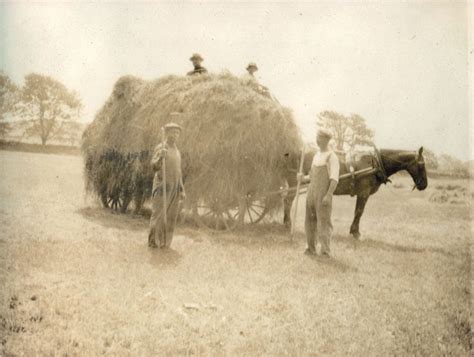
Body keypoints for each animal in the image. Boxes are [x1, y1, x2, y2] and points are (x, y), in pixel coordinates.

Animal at [284, 146, 428, 238]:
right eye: (422, 165)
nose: (424, 185)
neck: (375, 163)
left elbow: (357, 212)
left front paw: (353, 230)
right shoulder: (363, 193)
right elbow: (359, 212)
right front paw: (355, 232)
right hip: (294, 183)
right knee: (288, 201)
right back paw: (287, 223)